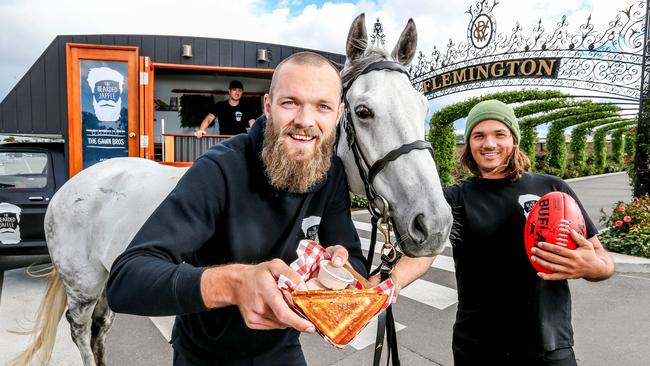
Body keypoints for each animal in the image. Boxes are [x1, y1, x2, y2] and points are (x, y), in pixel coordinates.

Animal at [12, 14, 450, 366]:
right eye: (363, 111)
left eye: (422, 108)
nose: (435, 224)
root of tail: (74, 186)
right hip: (83, 285)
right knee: (81, 330)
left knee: (100, 329)